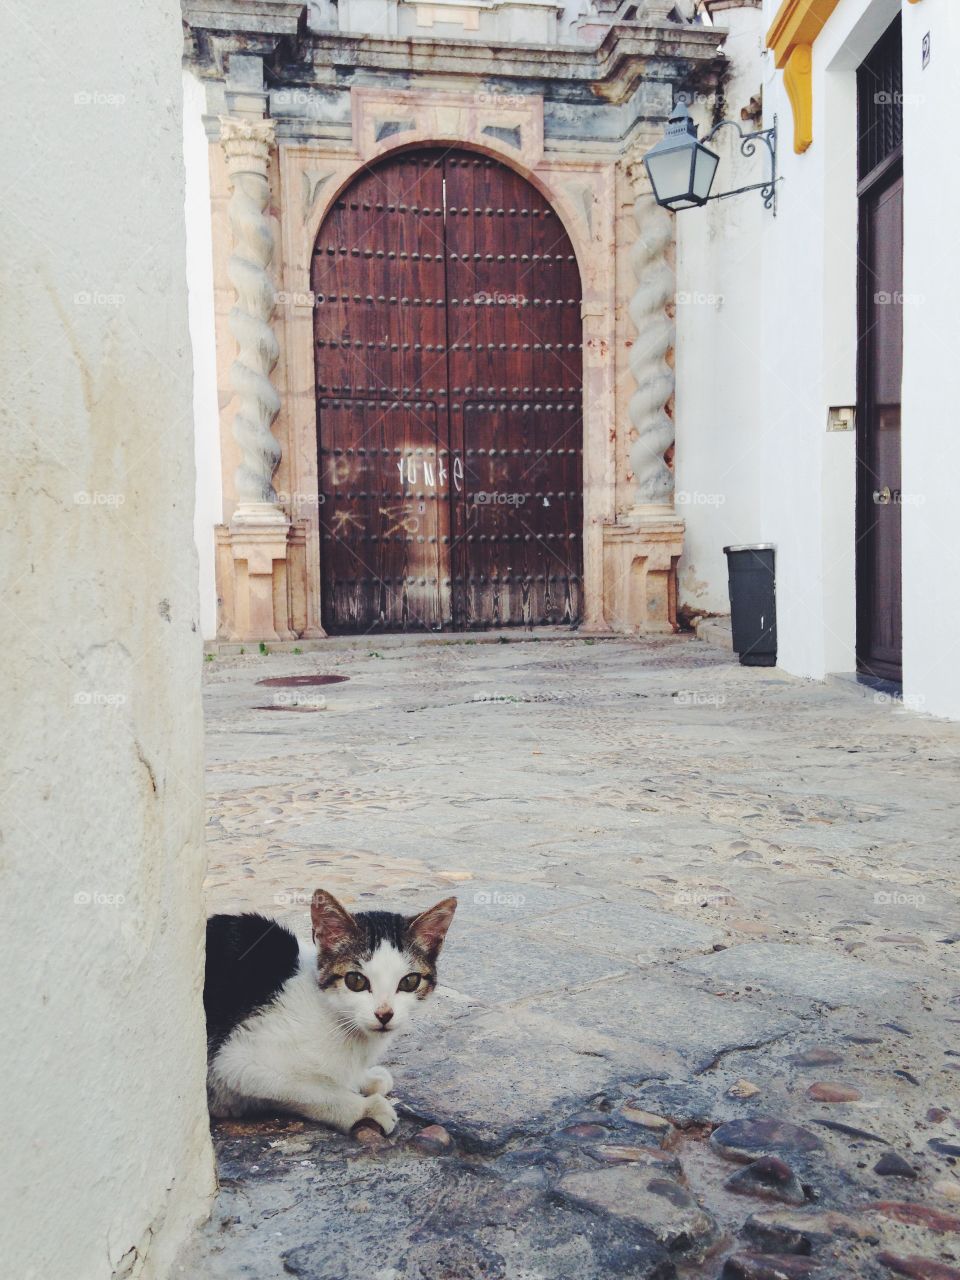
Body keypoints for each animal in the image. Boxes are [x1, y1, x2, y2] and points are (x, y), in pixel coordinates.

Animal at [203, 885, 458, 1136]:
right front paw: (364, 1108)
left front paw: (365, 1079)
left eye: (409, 981)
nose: (384, 1014)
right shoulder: (236, 1061)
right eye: (356, 980)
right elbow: (315, 1090)